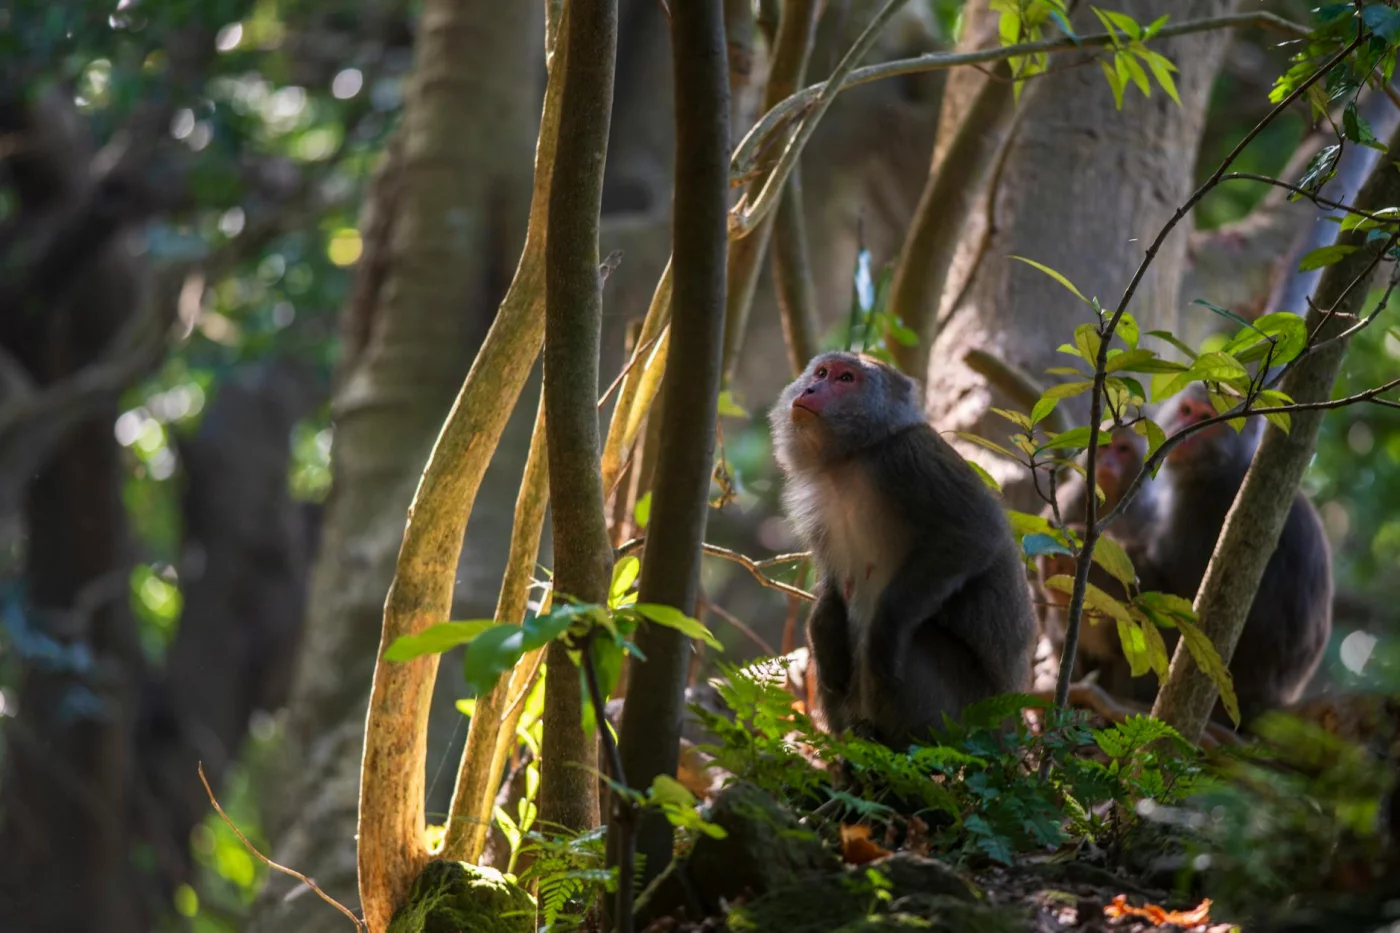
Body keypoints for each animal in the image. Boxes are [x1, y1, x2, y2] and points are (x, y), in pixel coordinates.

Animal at [769, 351, 1037, 748]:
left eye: (845, 379)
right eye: (821, 372)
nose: (810, 390)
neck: (853, 459)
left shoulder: (908, 460)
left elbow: (974, 535)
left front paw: (886, 630)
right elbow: (832, 585)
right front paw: (822, 623)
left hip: (964, 713)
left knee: (912, 642)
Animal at [1138, 383, 1333, 725]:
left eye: (1206, 419)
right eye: (1186, 411)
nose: (1179, 432)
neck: (1220, 468)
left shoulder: (1198, 507)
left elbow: (1180, 585)